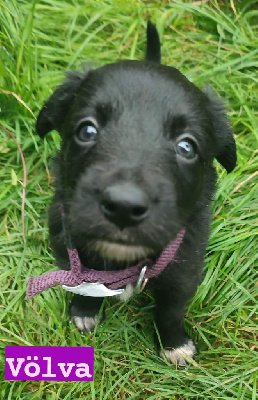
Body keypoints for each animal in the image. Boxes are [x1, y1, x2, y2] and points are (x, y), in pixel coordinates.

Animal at [35, 22, 236, 366]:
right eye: (87, 130)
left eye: (187, 147)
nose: (123, 207)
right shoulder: (67, 249)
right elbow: (82, 286)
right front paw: (85, 312)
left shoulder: (184, 268)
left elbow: (171, 310)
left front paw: (174, 344)